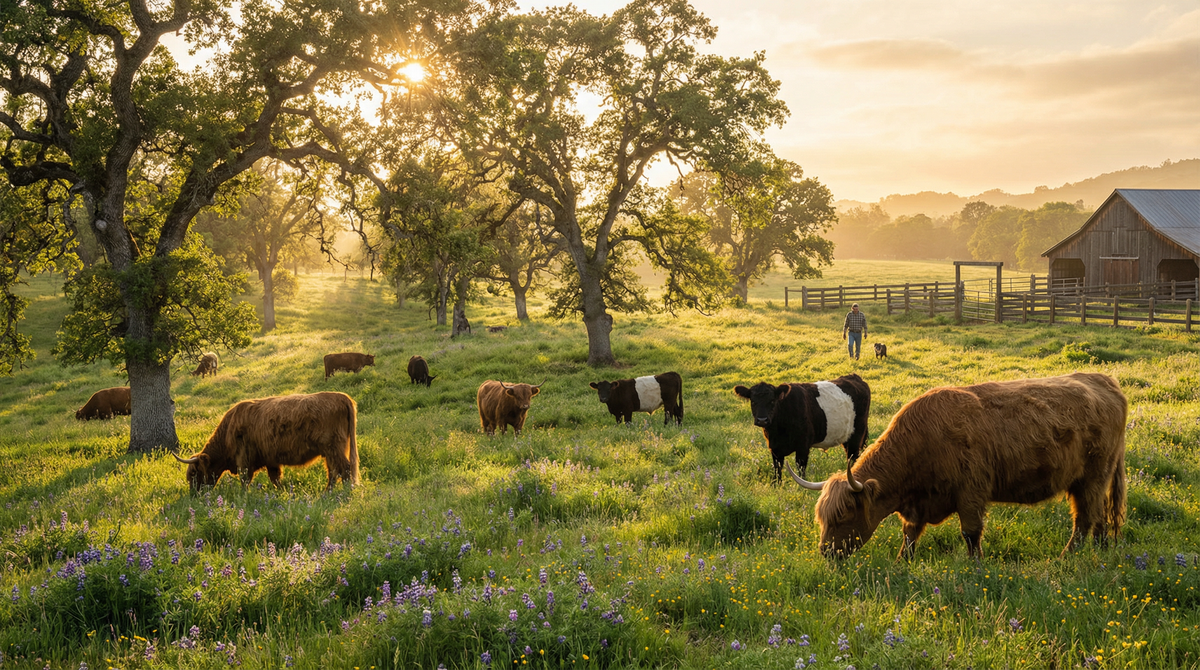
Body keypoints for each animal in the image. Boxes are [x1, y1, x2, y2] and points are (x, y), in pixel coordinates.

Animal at [173, 392, 359, 492]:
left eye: (194, 473)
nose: (194, 495)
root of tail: (341, 397)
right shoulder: (271, 460)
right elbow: (275, 478)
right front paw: (285, 493)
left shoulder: (244, 458)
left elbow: (245, 479)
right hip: (330, 451)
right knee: (334, 471)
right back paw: (327, 493)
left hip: (333, 447)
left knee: (344, 469)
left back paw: (342, 493)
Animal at [733, 374, 870, 485]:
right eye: (753, 402)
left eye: (772, 401)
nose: (762, 420)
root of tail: (854, 377)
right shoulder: (775, 448)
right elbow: (777, 470)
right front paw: (776, 486)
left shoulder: (803, 446)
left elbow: (800, 470)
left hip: (857, 434)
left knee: (853, 457)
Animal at [790, 372, 1127, 560]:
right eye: (822, 518)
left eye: (844, 514)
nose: (826, 552)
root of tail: (1106, 381)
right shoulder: (917, 506)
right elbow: (909, 536)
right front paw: (901, 563)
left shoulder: (971, 493)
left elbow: (971, 534)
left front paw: (976, 567)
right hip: (1093, 481)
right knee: (1098, 518)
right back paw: (1099, 551)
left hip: (1093, 478)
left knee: (1085, 519)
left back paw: (1064, 558)